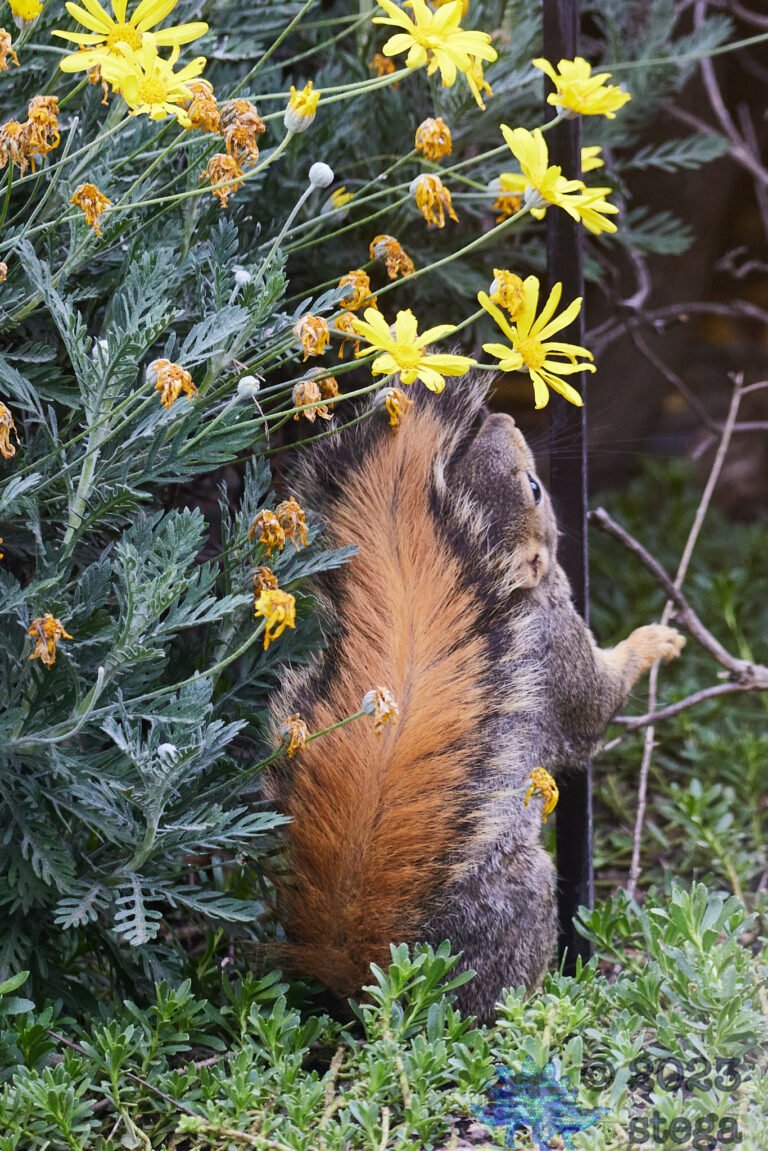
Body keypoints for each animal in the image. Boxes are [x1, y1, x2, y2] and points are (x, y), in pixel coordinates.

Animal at [264, 375, 685, 1021]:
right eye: (535, 489)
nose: (504, 418)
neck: (517, 594)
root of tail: (372, 965)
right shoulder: (560, 652)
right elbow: (594, 710)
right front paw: (653, 641)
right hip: (524, 898)